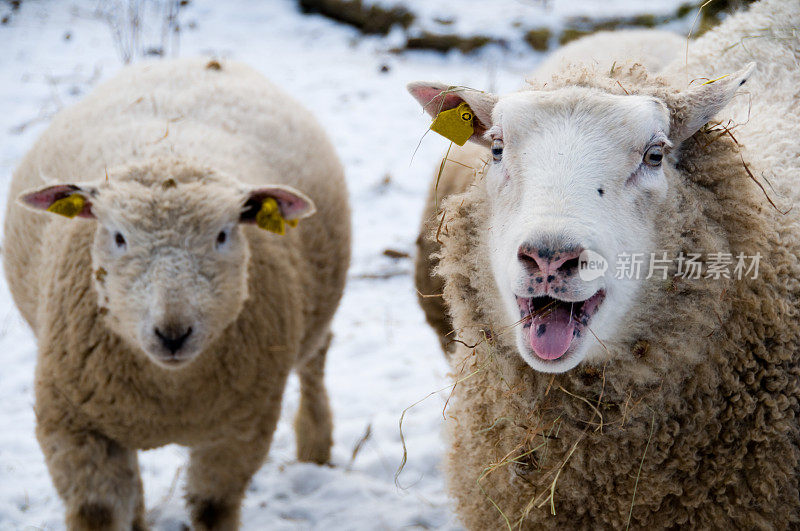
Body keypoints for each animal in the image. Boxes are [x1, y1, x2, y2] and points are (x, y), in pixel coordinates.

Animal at [3, 58, 350, 531]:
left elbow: (212, 509)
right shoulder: (75, 429)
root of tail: (194, 59)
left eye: (223, 235)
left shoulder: (240, 432)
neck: (170, 398)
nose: (172, 333)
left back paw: (316, 445)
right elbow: (99, 513)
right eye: (118, 236)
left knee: (315, 364)